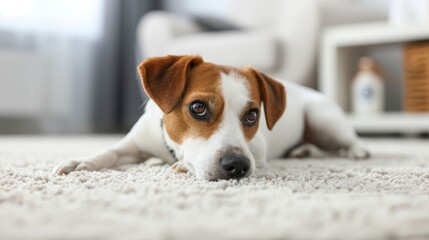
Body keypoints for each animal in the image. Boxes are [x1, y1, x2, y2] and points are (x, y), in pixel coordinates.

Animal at [53, 55, 368, 181]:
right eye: (198, 108)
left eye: (252, 115)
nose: (237, 165)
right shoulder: (133, 145)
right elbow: (108, 152)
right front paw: (80, 162)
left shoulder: (258, 149)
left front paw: (184, 165)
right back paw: (303, 151)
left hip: (322, 120)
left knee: (349, 140)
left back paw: (355, 151)